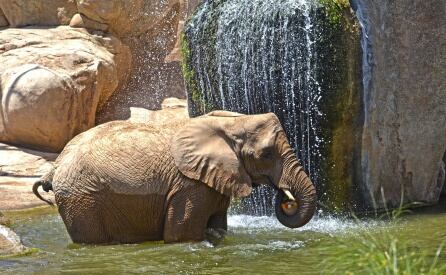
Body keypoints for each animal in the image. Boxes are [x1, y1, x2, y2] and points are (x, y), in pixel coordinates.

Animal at [33, 111, 316, 245]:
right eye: (266, 154)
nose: (286, 199)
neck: (230, 122)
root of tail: (55, 167)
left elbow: (218, 228)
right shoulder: (189, 186)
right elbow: (181, 235)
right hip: (82, 199)